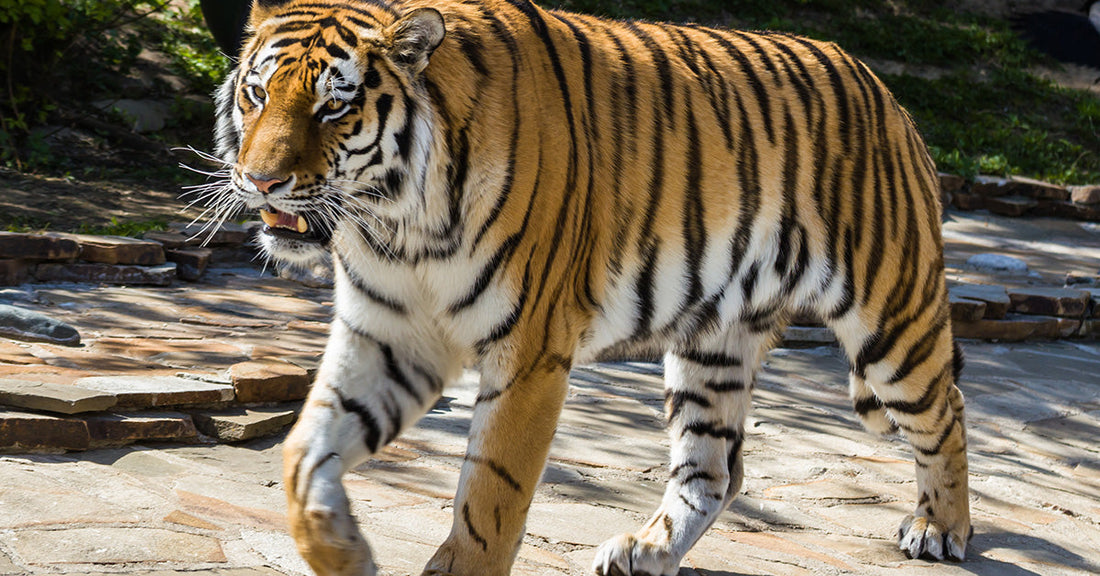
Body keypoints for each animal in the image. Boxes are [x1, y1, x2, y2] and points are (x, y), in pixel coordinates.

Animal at [209, 0, 972, 574]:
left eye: (332, 109)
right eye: (257, 94)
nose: (262, 181)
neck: (397, 225)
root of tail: (884, 91)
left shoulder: (529, 351)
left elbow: (490, 494)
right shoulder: (389, 333)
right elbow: (302, 455)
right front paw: (344, 553)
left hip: (892, 318)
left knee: (947, 409)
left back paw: (940, 529)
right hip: (713, 341)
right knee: (715, 468)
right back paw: (647, 551)